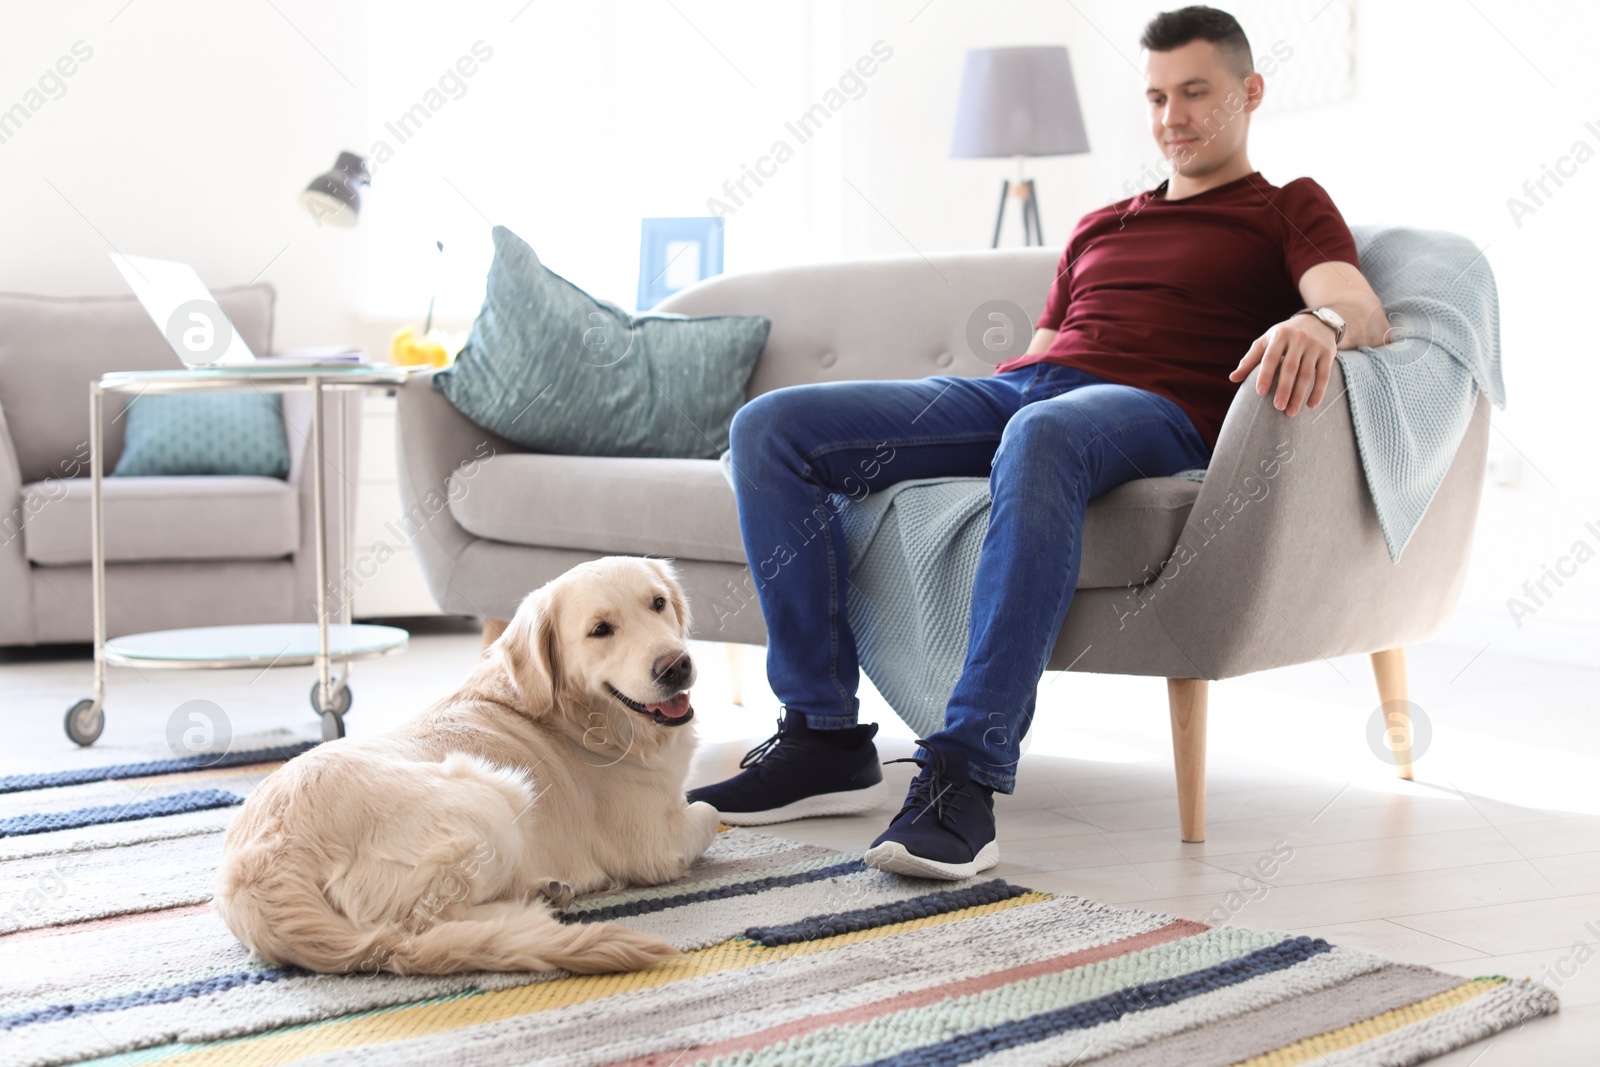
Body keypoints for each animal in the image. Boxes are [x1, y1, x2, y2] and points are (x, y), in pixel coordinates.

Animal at [212, 559, 720, 979]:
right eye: (601, 629)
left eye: (658, 603)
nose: (676, 665)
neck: (578, 716)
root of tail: (265, 868)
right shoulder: (653, 846)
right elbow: (710, 811)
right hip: (492, 797)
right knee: (424, 928)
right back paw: (534, 902)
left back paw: (544, 890)